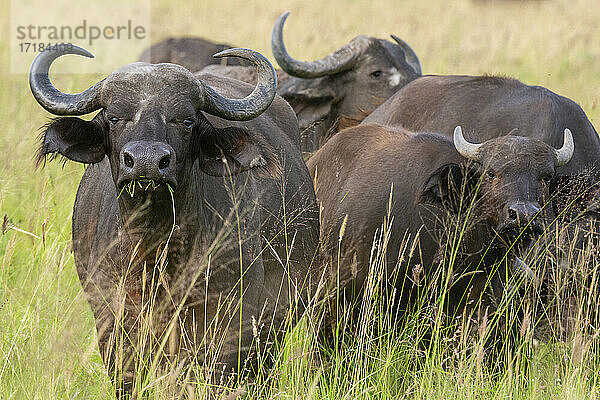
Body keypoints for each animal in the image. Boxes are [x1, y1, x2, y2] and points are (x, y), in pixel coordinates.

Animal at [29, 44, 318, 396]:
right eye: (114, 117)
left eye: (186, 120)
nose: (147, 162)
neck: (156, 250)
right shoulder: (113, 320)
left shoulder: (231, 323)